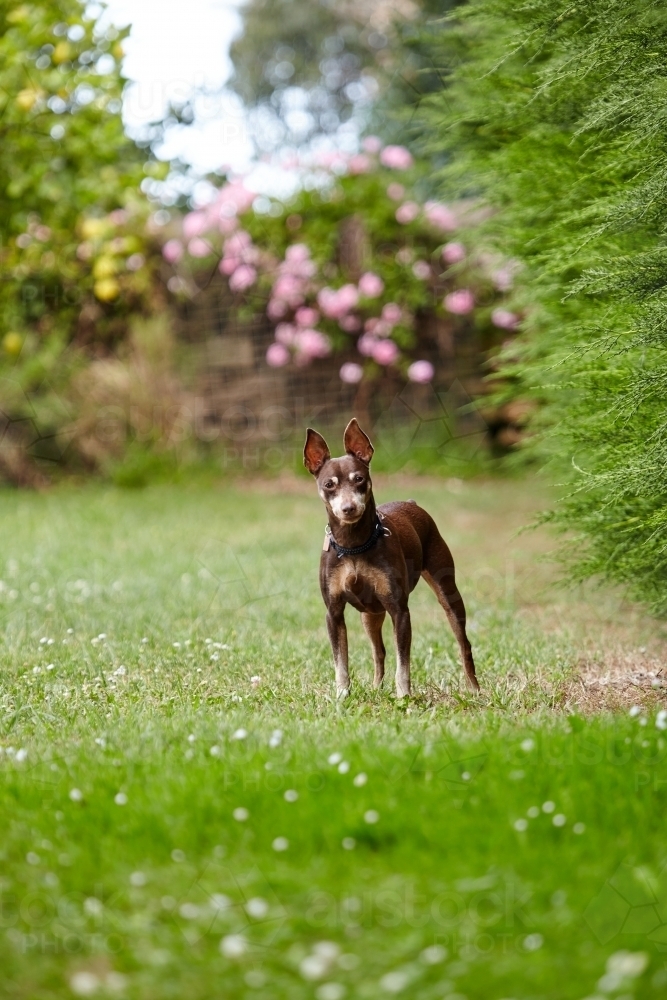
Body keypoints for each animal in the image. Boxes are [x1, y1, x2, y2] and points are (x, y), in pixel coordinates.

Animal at [302, 418, 480, 700]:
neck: (354, 546)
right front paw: (342, 695)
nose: (348, 508)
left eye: (359, 479)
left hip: (448, 593)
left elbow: (403, 662)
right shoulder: (333, 612)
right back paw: (376, 687)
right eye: (329, 484)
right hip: (370, 614)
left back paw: (474, 688)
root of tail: (412, 503)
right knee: (379, 651)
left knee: (463, 643)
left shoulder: (399, 610)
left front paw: (403, 696)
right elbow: (341, 662)